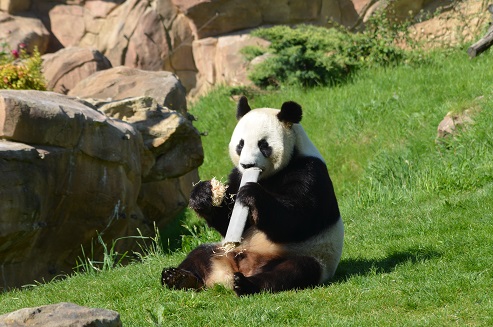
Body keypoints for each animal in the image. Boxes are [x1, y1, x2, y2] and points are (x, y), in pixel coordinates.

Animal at [161, 95, 342, 298]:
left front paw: (252, 194)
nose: (247, 164)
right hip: (222, 251)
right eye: (240, 144)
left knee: (293, 270)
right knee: (199, 255)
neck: (264, 177)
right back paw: (179, 278)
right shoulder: (237, 175)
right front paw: (204, 194)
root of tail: (236, 271)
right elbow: (228, 222)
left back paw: (246, 284)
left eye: (263, 145)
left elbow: (299, 219)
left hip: (309, 256)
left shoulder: (309, 171)